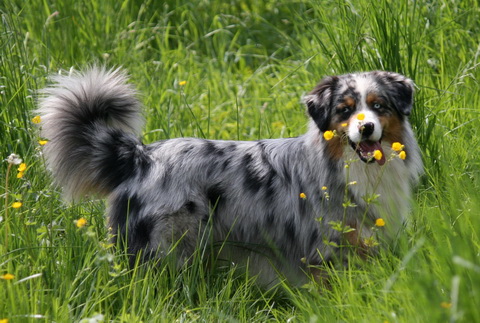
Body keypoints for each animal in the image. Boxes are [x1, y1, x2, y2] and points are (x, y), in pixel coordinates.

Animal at [35, 67, 422, 286]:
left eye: (378, 106)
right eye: (345, 111)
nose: (366, 128)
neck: (352, 168)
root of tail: (140, 158)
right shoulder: (322, 251)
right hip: (164, 250)